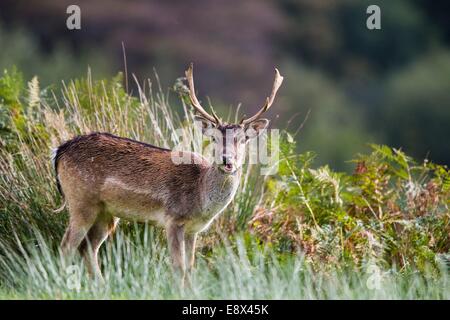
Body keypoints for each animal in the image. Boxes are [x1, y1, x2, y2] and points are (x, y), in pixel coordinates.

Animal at [53, 63, 284, 282]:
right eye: (214, 138)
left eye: (243, 139)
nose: (227, 160)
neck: (201, 200)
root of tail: (60, 151)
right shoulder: (174, 219)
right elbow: (178, 268)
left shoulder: (193, 229)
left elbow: (190, 269)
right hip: (81, 200)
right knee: (66, 246)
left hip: (105, 212)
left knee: (88, 247)